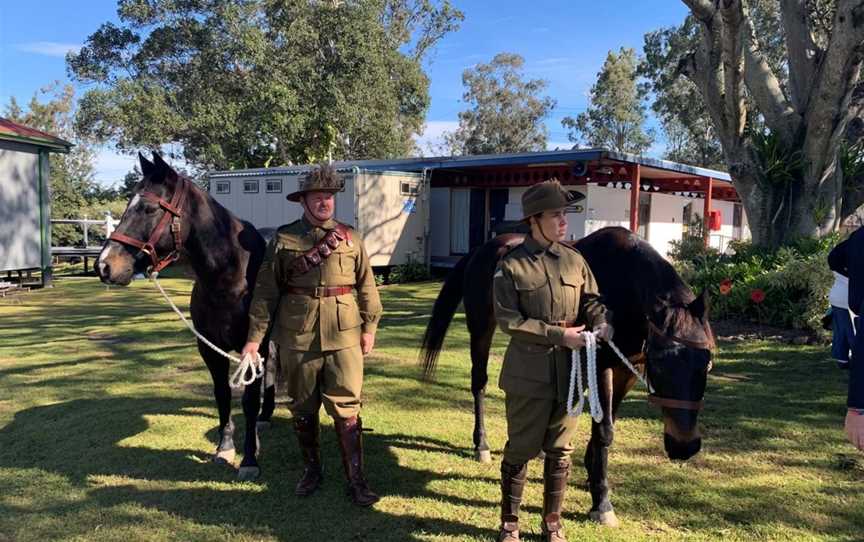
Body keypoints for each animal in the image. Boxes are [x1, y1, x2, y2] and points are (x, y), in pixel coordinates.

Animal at [97, 152, 274, 480]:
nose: (104, 266)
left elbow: (248, 398)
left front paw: (249, 458)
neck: (231, 277)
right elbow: (222, 394)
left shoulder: (252, 347)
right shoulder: (209, 348)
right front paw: (225, 448)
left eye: (149, 208)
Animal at [420, 228, 716, 528]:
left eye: (707, 363)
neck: (624, 288)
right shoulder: (603, 365)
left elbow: (607, 424)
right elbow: (604, 430)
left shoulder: (626, 369)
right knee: (479, 383)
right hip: (481, 329)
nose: (684, 446)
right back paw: (481, 445)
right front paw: (602, 502)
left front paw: (592, 476)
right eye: (659, 365)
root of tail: (481, 250)